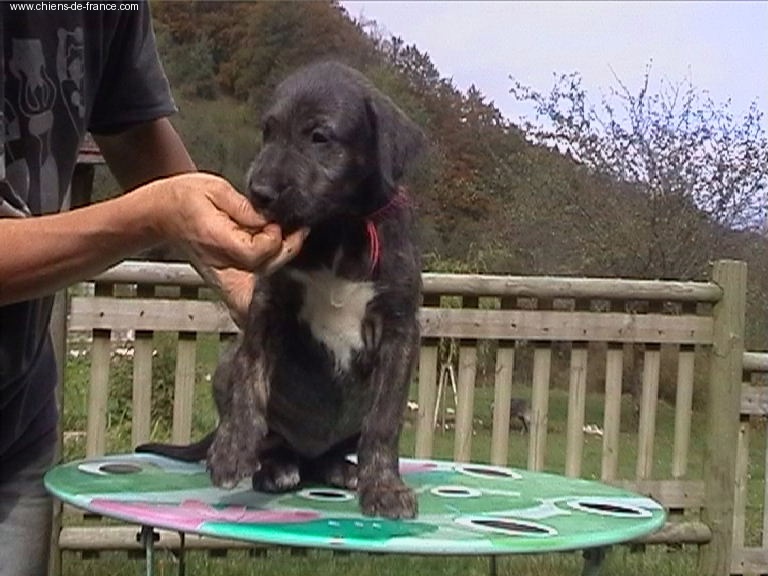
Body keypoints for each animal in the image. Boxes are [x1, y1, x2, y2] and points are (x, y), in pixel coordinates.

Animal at [137, 61, 425, 519]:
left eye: (319, 136)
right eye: (267, 132)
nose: (259, 192)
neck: (337, 230)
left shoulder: (400, 327)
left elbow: (384, 420)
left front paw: (384, 487)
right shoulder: (268, 305)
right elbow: (251, 378)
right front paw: (232, 449)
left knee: (332, 453)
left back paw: (340, 468)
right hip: (225, 368)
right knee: (271, 437)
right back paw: (274, 467)